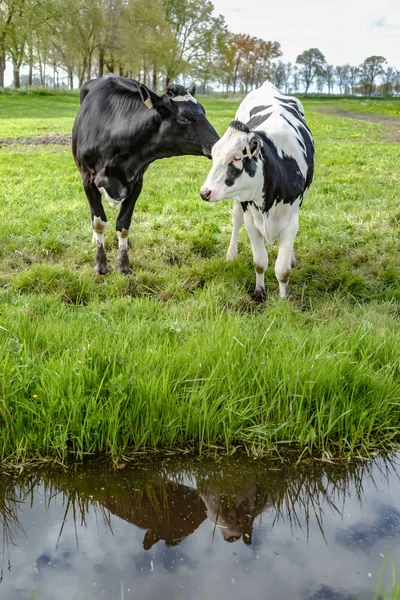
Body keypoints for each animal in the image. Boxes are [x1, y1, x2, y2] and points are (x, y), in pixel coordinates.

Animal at [70, 73, 217, 276]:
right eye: (185, 118)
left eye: (203, 112)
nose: (218, 143)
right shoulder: (88, 178)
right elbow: (99, 222)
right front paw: (100, 264)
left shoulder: (137, 181)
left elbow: (123, 224)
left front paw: (124, 265)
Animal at [198, 81, 314, 300]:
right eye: (214, 155)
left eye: (236, 157)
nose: (205, 192)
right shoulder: (251, 219)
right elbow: (260, 262)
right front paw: (259, 292)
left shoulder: (291, 219)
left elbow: (282, 269)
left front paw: (283, 300)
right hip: (239, 203)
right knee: (236, 219)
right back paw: (231, 254)